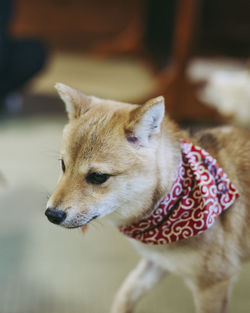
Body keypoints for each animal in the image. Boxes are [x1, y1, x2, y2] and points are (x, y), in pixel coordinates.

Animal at [46, 82, 250, 312]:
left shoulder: (213, 283)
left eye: (98, 177)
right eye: (63, 166)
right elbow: (126, 292)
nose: (51, 214)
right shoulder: (156, 261)